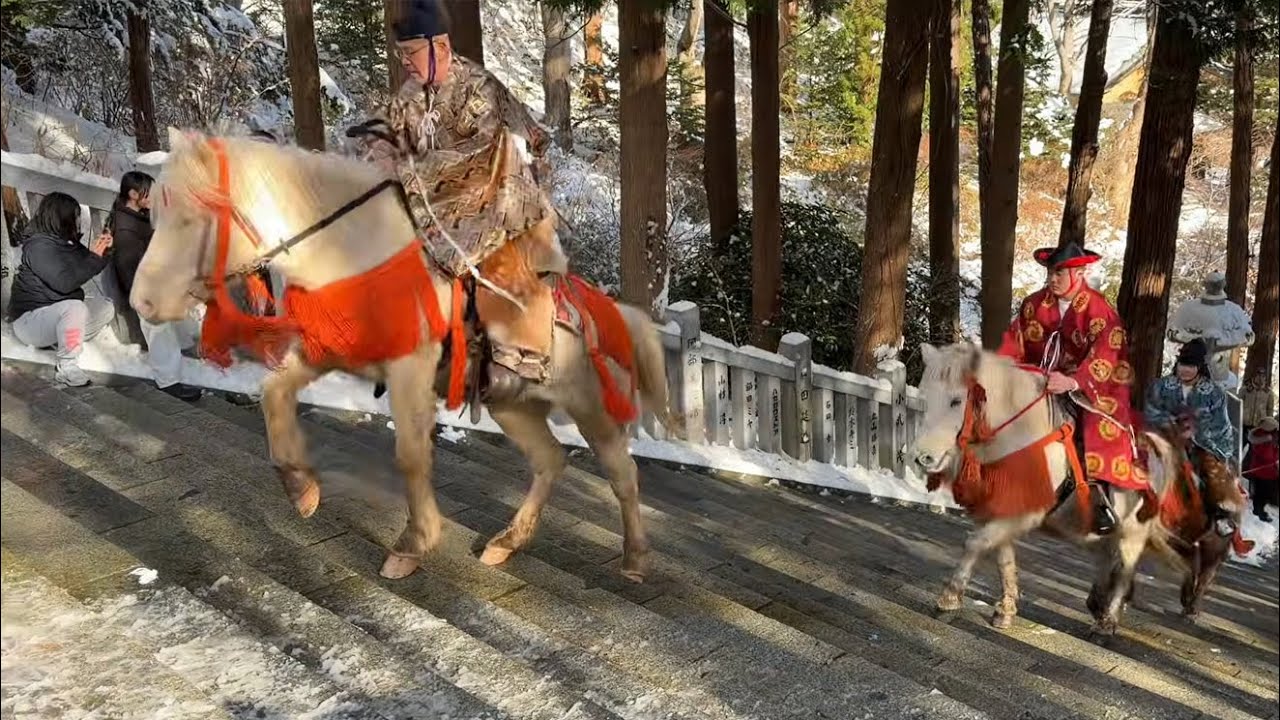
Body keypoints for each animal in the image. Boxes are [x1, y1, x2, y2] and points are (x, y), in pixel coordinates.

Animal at [129, 128, 668, 582]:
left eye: (190, 217)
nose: (142, 302)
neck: (354, 253)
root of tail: (602, 305)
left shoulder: (410, 369)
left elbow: (410, 454)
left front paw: (413, 543)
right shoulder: (326, 350)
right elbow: (273, 395)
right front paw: (301, 488)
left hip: (586, 401)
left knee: (621, 470)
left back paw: (636, 559)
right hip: (512, 403)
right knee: (550, 461)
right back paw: (507, 542)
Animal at [912, 342, 1183, 636]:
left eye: (956, 401)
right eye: (925, 397)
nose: (923, 457)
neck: (1019, 434)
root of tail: (1157, 447)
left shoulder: (1022, 513)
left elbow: (975, 543)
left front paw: (948, 601)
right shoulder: (1000, 507)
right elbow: (1003, 557)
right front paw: (1005, 610)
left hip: (1134, 531)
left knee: (1124, 569)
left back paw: (1107, 622)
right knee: (1105, 558)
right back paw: (1097, 602)